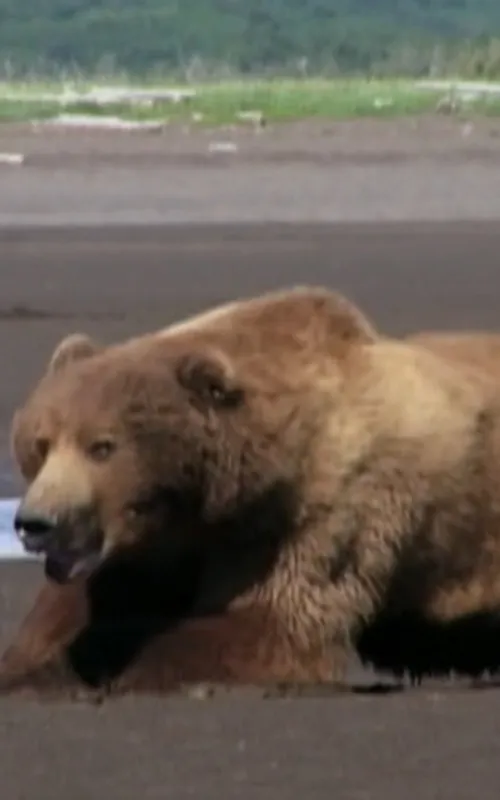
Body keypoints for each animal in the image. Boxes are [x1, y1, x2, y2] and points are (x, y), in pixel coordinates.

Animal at [3, 285, 500, 699]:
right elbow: (77, 613)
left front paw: (127, 672)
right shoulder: (159, 544)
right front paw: (41, 666)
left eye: (102, 446)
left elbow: (267, 622)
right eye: (41, 444)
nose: (36, 523)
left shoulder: (321, 513)